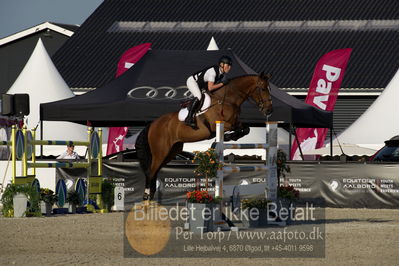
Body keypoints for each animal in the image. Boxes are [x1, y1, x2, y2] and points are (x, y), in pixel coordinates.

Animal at [136, 72, 274, 200]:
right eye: (263, 89)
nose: (269, 110)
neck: (228, 99)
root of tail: (152, 124)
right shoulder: (220, 124)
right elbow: (237, 129)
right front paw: (225, 139)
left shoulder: (236, 122)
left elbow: (246, 129)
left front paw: (230, 138)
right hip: (160, 151)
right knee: (151, 171)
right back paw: (146, 196)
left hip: (172, 150)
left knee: (155, 171)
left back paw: (151, 195)